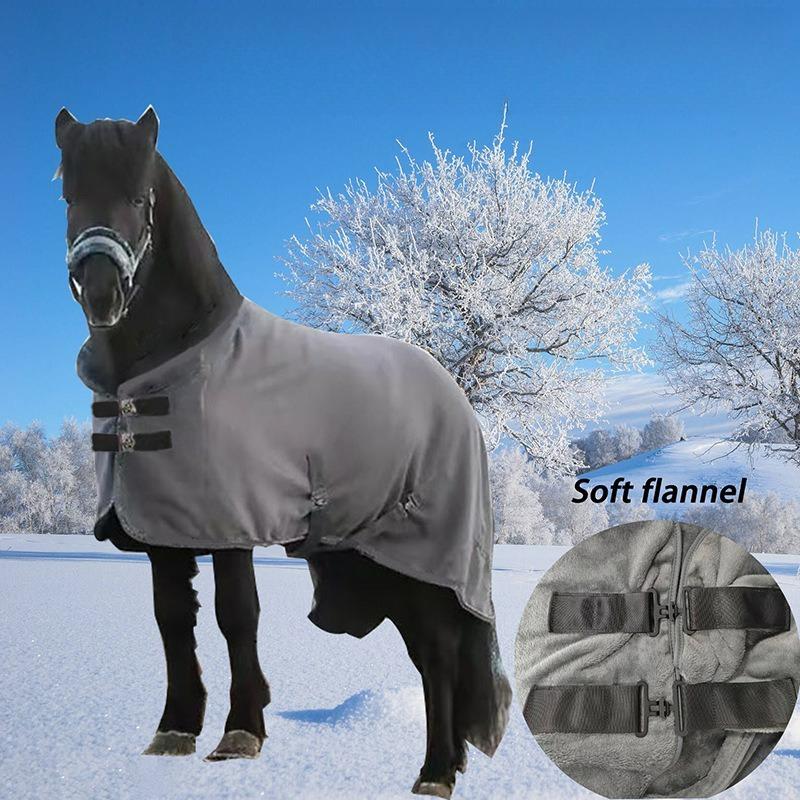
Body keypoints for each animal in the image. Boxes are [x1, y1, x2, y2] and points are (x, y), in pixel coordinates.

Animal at [54, 106, 511, 799]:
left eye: (138, 197)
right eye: (69, 195)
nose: (101, 291)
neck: (172, 363)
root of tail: (452, 394)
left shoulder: (231, 521)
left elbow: (235, 615)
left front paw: (241, 731)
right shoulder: (164, 527)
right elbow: (172, 619)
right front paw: (175, 729)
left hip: (426, 558)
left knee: (436, 654)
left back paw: (434, 773)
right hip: (382, 561)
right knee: (433, 656)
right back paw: (445, 764)